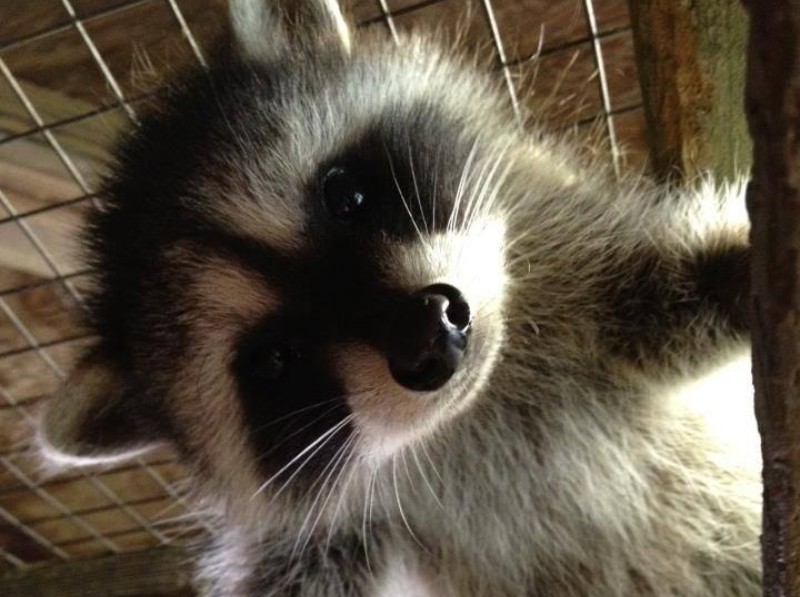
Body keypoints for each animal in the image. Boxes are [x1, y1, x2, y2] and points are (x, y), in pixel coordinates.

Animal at [39, 1, 764, 596]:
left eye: (347, 196)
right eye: (276, 358)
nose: (431, 334)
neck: (470, 411)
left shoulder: (569, 253)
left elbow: (659, 296)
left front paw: (738, 271)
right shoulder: (331, 531)